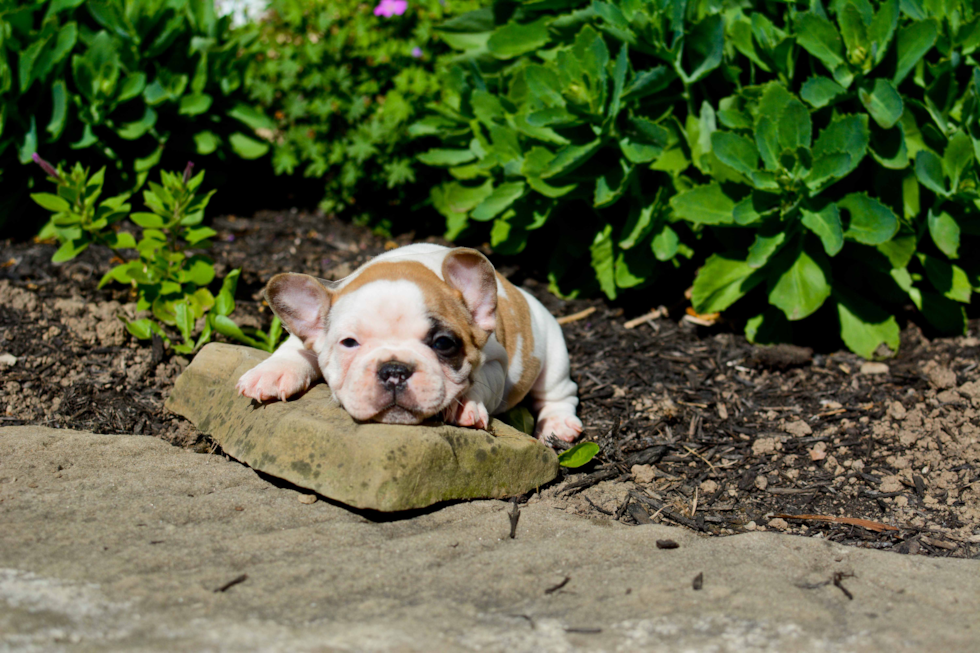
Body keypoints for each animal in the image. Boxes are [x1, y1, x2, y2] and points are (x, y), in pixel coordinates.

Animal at [236, 243, 580, 444]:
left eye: (443, 343)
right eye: (349, 343)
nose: (394, 370)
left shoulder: (496, 362)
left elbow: (480, 379)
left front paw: (465, 404)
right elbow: (295, 347)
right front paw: (272, 372)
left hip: (553, 351)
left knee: (559, 392)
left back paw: (558, 424)